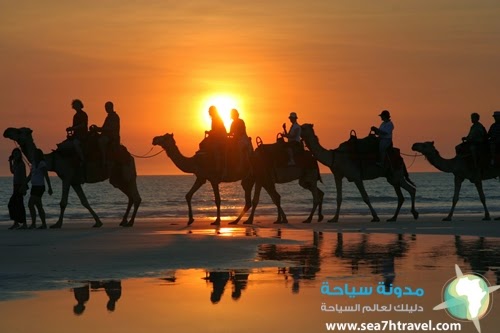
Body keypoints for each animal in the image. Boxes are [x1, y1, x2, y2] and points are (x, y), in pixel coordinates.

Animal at [4, 126, 141, 227]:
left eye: (19, 131)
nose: (6, 131)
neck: (53, 160)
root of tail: (130, 156)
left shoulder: (66, 177)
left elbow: (63, 202)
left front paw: (57, 224)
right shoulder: (75, 182)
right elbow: (84, 201)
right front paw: (98, 222)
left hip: (127, 173)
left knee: (136, 197)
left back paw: (130, 222)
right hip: (117, 179)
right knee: (130, 196)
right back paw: (124, 221)